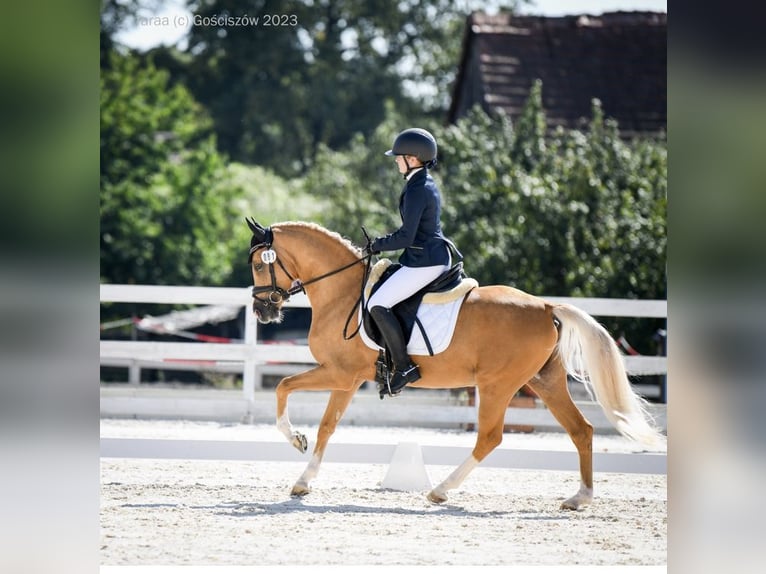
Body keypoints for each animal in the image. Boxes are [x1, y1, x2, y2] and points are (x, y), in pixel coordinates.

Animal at [248, 218, 664, 510]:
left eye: (258, 265)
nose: (261, 311)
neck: (342, 293)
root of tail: (547, 306)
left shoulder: (340, 373)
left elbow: (284, 387)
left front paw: (296, 443)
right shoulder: (347, 380)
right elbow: (327, 426)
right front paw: (304, 480)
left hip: (498, 384)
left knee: (490, 437)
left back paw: (440, 490)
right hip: (545, 381)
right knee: (581, 430)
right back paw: (580, 498)